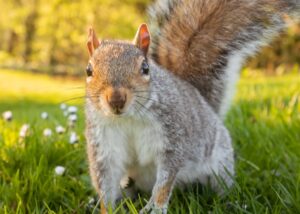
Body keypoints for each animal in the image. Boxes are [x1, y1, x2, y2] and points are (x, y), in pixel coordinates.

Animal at [84, 24, 234, 213]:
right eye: (89, 70)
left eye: (145, 68)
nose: (116, 100)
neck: (128, 118)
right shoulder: (103, 144)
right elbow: (106, 183)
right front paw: (108, 209)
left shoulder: (173, 134)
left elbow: (166, 178)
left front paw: (155, 206)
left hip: (221, 163)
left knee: (222, 184)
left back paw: (227, 202)